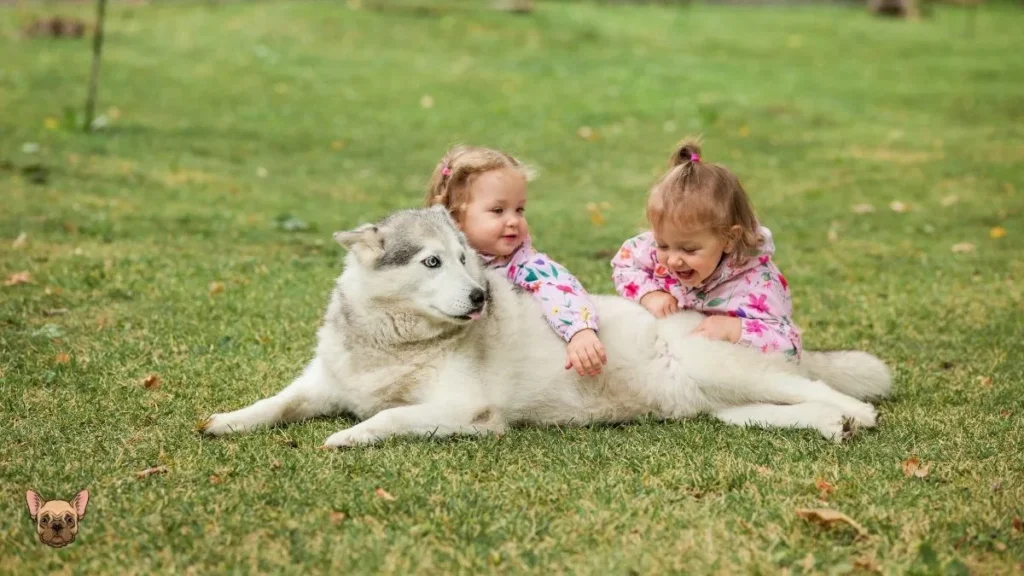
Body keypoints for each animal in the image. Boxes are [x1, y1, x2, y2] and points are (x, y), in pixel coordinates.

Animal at [199, 204, 888, 444]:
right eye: (432, 262)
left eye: (467, 259)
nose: (481, 296)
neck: (393, 345)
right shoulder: (320, 384)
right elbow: (276, 404)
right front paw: (227, 421)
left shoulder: (465, 411)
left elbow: (387, 419)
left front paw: (348, 436)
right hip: (725, 404)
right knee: (793, 409)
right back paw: (831, 427)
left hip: (724, 365)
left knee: (834, 394)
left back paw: (855, 416)